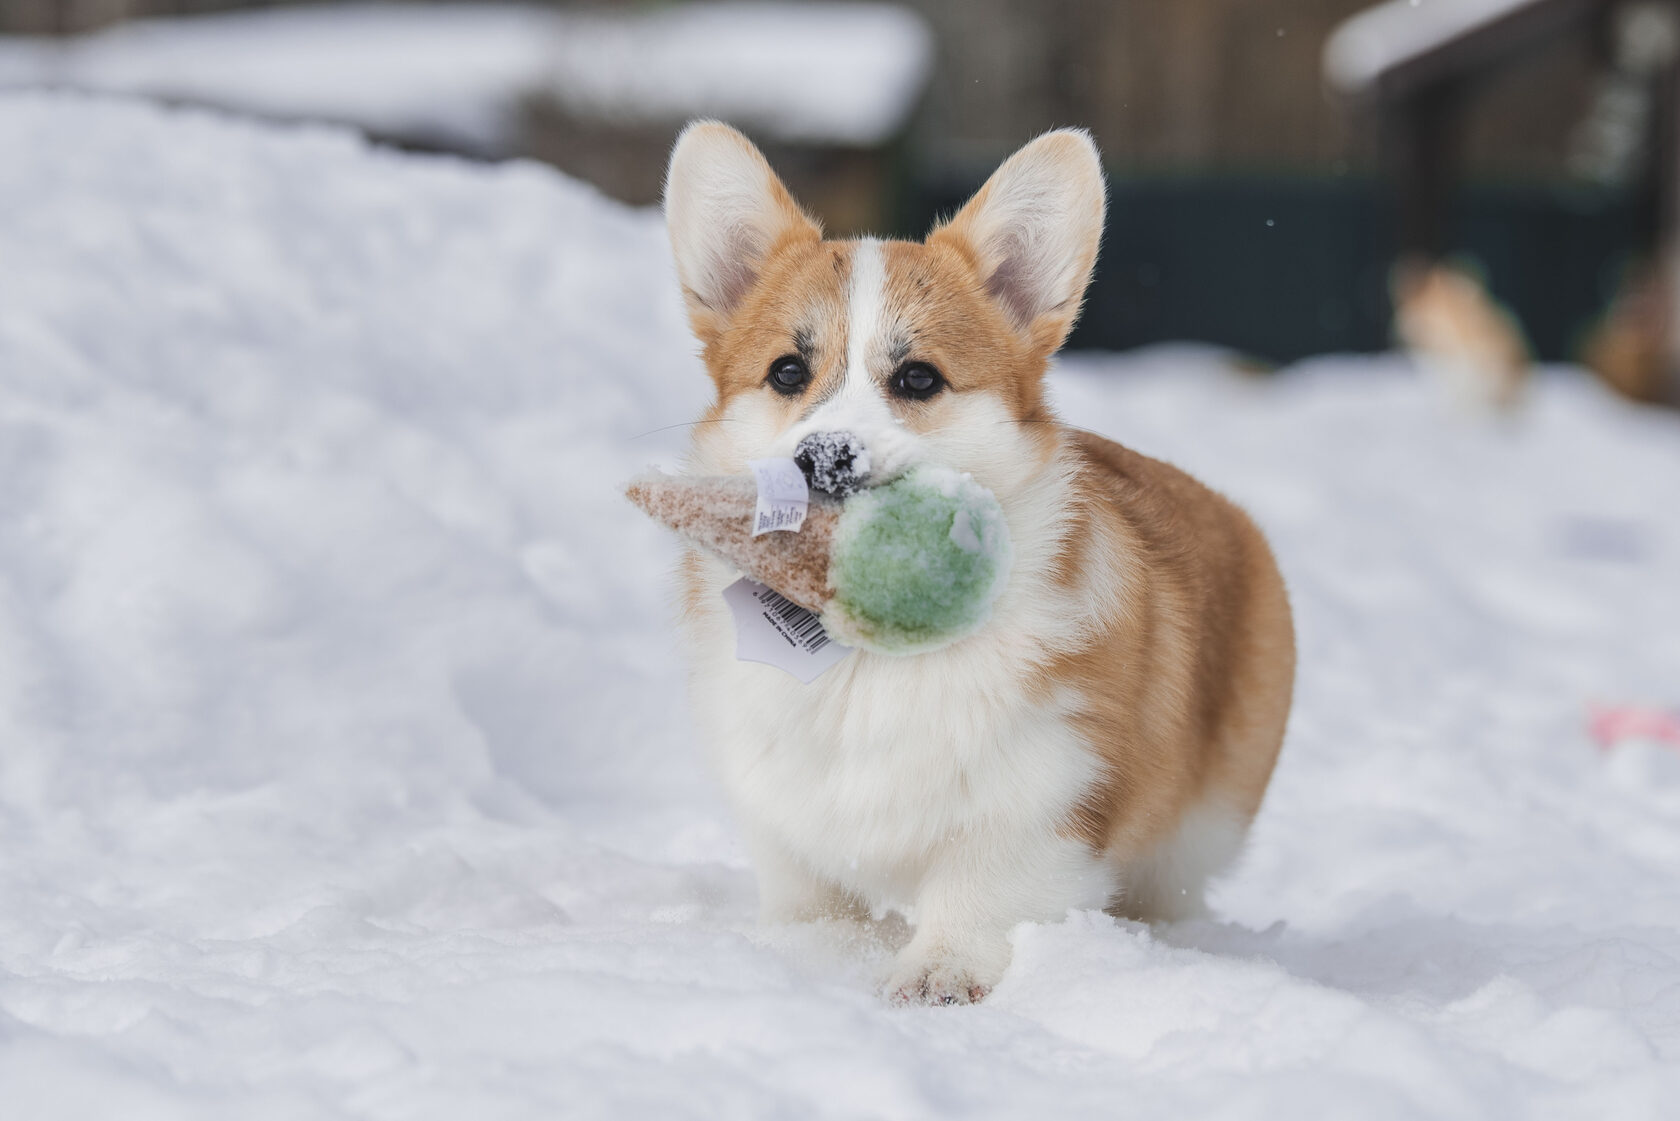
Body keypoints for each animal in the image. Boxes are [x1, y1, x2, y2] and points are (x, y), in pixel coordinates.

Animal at [661, 122, 1290, 1008]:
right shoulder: (783, 815)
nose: (825, 458)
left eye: (918, 378)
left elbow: (982, 888)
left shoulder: (1042, 793)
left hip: (1195, 835)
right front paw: (817, 956)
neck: (871, 642)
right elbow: (813, 903)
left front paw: (941, 970)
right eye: (787, 371)